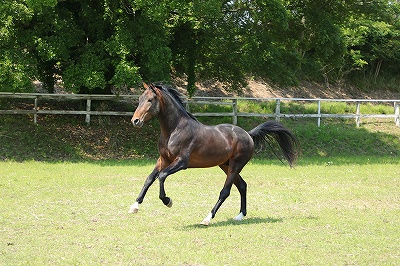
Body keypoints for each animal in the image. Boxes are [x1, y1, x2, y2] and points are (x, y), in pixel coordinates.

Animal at [130, 82, 298, 224]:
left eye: (150, 100)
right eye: (139, 99)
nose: (135, 121)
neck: (174, 130)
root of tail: (248, 135)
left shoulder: (181, 162)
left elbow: (162, 176)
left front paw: (168, 201)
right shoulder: (163, 159)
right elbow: (150, 178)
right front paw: (134, 206)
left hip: (235, 165)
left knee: (226, 191)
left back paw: (207, 218)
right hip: (225, 165)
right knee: (242, 185)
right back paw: (240, 215)